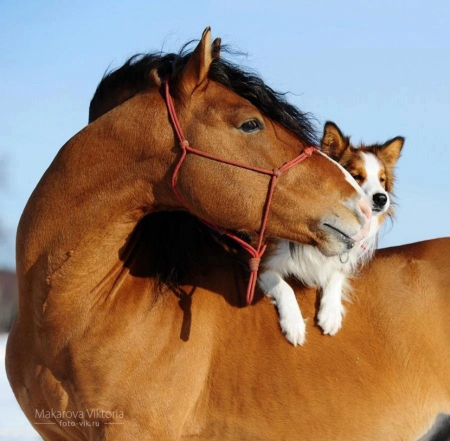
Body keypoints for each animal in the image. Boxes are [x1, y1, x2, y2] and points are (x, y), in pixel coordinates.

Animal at [260, 122, 404, 346]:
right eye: (356, 176)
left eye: (382, 180)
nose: (382, 198)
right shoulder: (263, 263)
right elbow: (284, 286)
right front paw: (293, 324)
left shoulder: (342, 260)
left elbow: (337, 273)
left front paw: (331, 314)